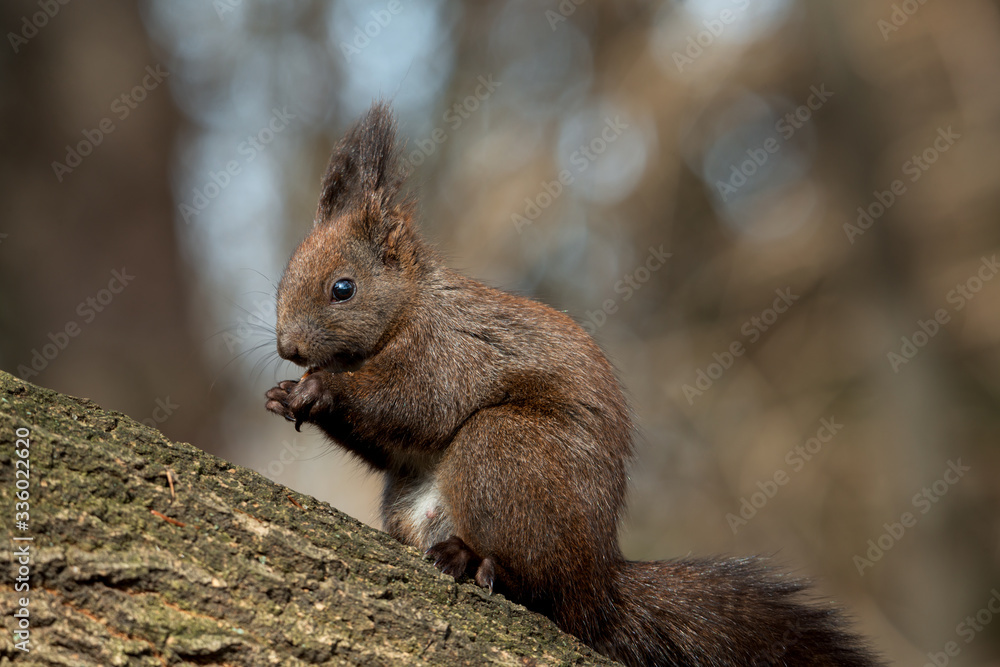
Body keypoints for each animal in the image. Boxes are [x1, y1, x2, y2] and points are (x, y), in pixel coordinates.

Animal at [265, 102, 880, 667]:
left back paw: (476, 561)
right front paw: (285, 394)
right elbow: (389, 443)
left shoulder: (450, 352)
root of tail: (597, 583)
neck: (411, 307)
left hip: (507, 451)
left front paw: (321, 390)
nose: (288, 349)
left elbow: (417, 406)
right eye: (282, 279)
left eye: (343, 288)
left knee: (539, 586)